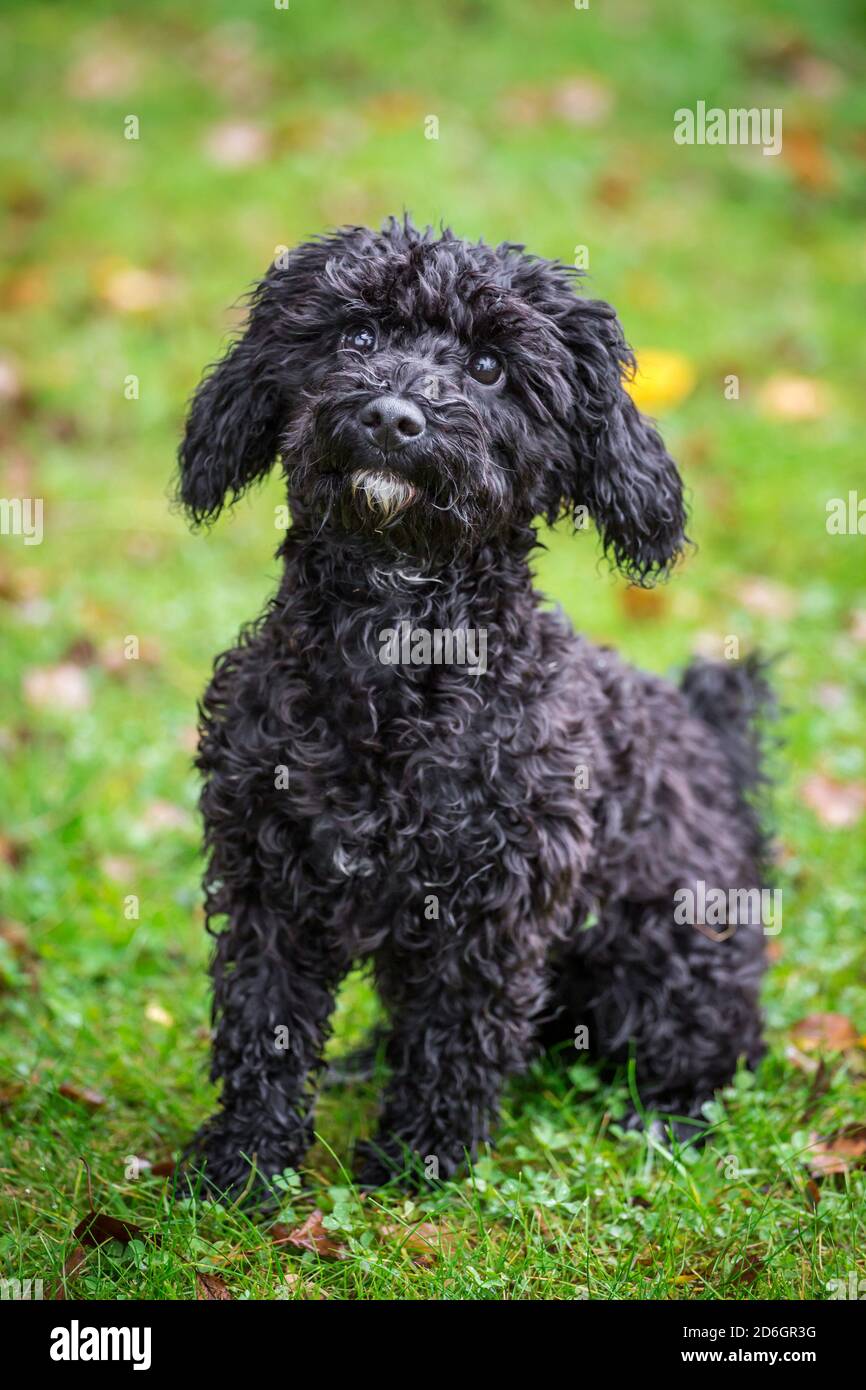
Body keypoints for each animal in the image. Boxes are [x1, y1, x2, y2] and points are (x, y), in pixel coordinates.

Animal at [176, 214, 772, 1195]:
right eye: (357, 335)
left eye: (491, 366)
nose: (392, 415)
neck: (397, 650)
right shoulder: (268, 879)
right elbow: (264, 1027)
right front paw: (243, 1164)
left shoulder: (495, 904)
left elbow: (459, 1038)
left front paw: (420, 1160)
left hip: (671, 957)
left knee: (720, 1056)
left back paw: (666, 1120)